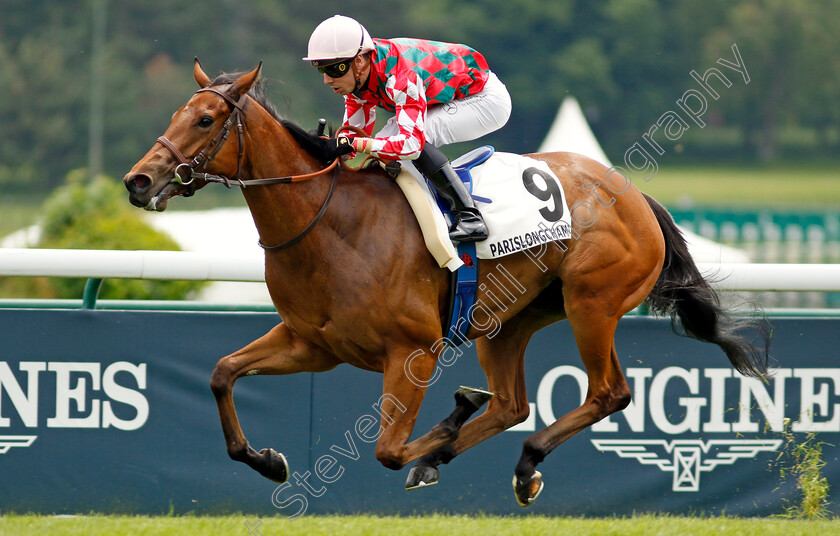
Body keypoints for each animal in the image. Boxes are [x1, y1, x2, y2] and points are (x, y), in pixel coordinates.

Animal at [121, 61, 772, 506]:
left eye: (205, 119)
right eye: (174, 115)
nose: (137, 180)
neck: (328, 223)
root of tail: (633, 194)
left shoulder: (414, 350)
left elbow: (386, 449)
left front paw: (445, 422)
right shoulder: (312, 344)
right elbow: (222, 374)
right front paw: (269, 461)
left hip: (594, 303)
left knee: (608, 394)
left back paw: (518, 459)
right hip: (509, 320)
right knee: (513, 404)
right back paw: (473, 455)